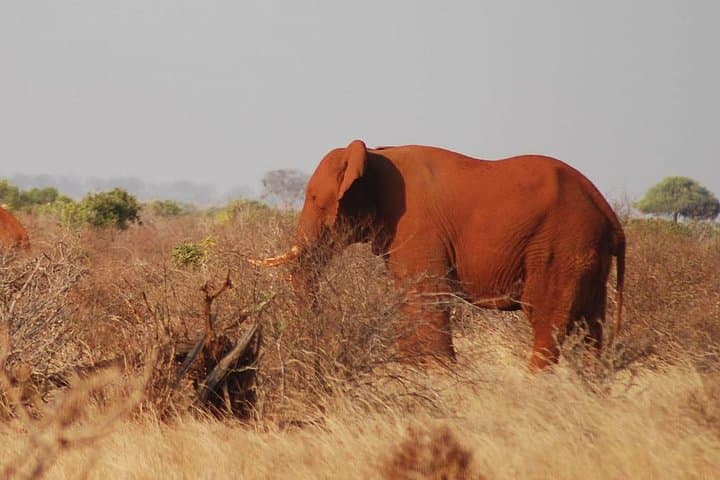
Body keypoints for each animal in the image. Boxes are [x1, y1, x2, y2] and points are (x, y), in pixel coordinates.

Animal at [251, 140, 625, 370]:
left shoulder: (417, 225)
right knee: (590, 328)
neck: (372, 153)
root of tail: (609, 215)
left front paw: (440, 377)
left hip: (560, 247)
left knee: (548, 322)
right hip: (586, 255)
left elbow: (425, 296)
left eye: (315, 199)